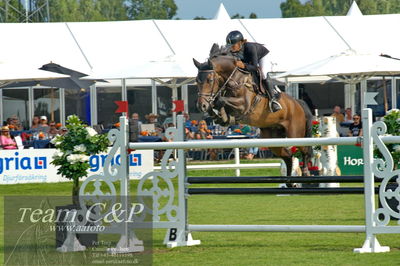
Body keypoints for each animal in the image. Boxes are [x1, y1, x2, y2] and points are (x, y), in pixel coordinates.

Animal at [195, 46, 316, 179]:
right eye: (196, 81)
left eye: (210, 80)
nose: (201, 106)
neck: (234, 79)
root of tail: (297, 103)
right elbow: (218, 104)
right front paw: (220, 116)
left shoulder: (244, 105)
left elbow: (221, 100)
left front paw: (221, 113)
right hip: (272, 138)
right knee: (288, 157)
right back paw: (290, 181)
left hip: (295, 134)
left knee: (305, 150)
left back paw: (306, 172)